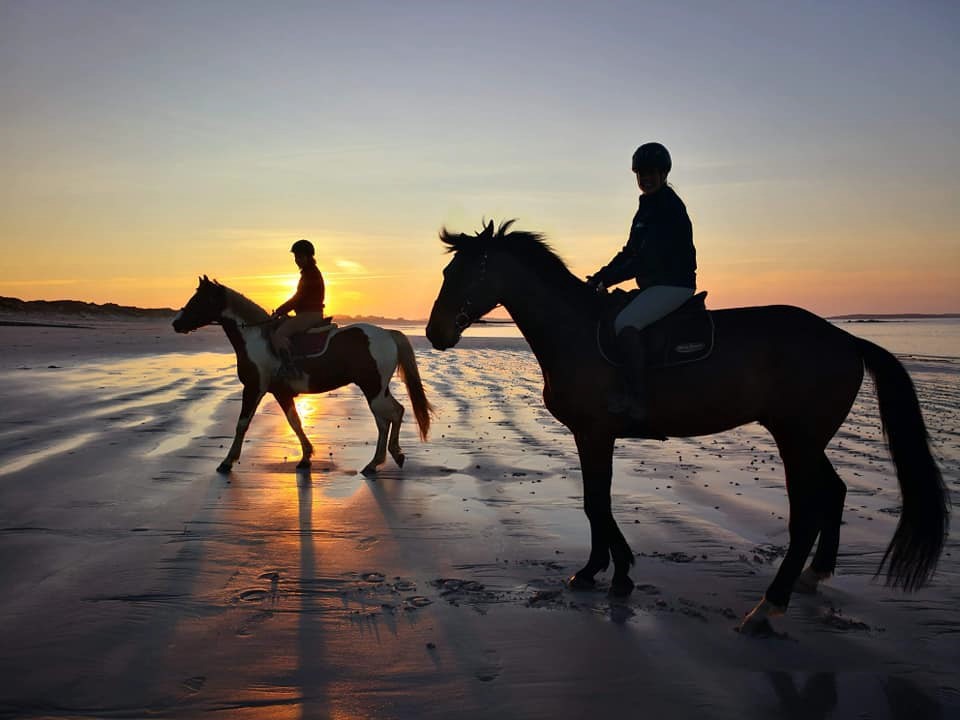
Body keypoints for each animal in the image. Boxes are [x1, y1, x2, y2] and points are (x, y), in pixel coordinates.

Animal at [172, 278, 432, 476]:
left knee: (390, 415)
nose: (176, 324)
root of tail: (387, 333)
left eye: (198, 300)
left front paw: (227, 462)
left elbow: (243, 423)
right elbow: (295, 422)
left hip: (373, 389)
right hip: (376, 389)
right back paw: (381, 460)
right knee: (389, 417)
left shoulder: (254, 388)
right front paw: (306, 456)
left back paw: (385, 458)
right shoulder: (281, 392)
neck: (257, 339)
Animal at [426, 218, 944, 632]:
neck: (574, 331)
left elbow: (597, 503)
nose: (434, 333)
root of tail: (847, 339)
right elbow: (595, 502)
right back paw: (814, 576)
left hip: (795, 440)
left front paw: (619, 572)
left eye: (460, 273)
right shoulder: (587, 436)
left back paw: (768, 608)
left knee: (806, 515)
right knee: (834, 492)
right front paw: (596, 570)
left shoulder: (595, 433)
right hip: (807, 439)